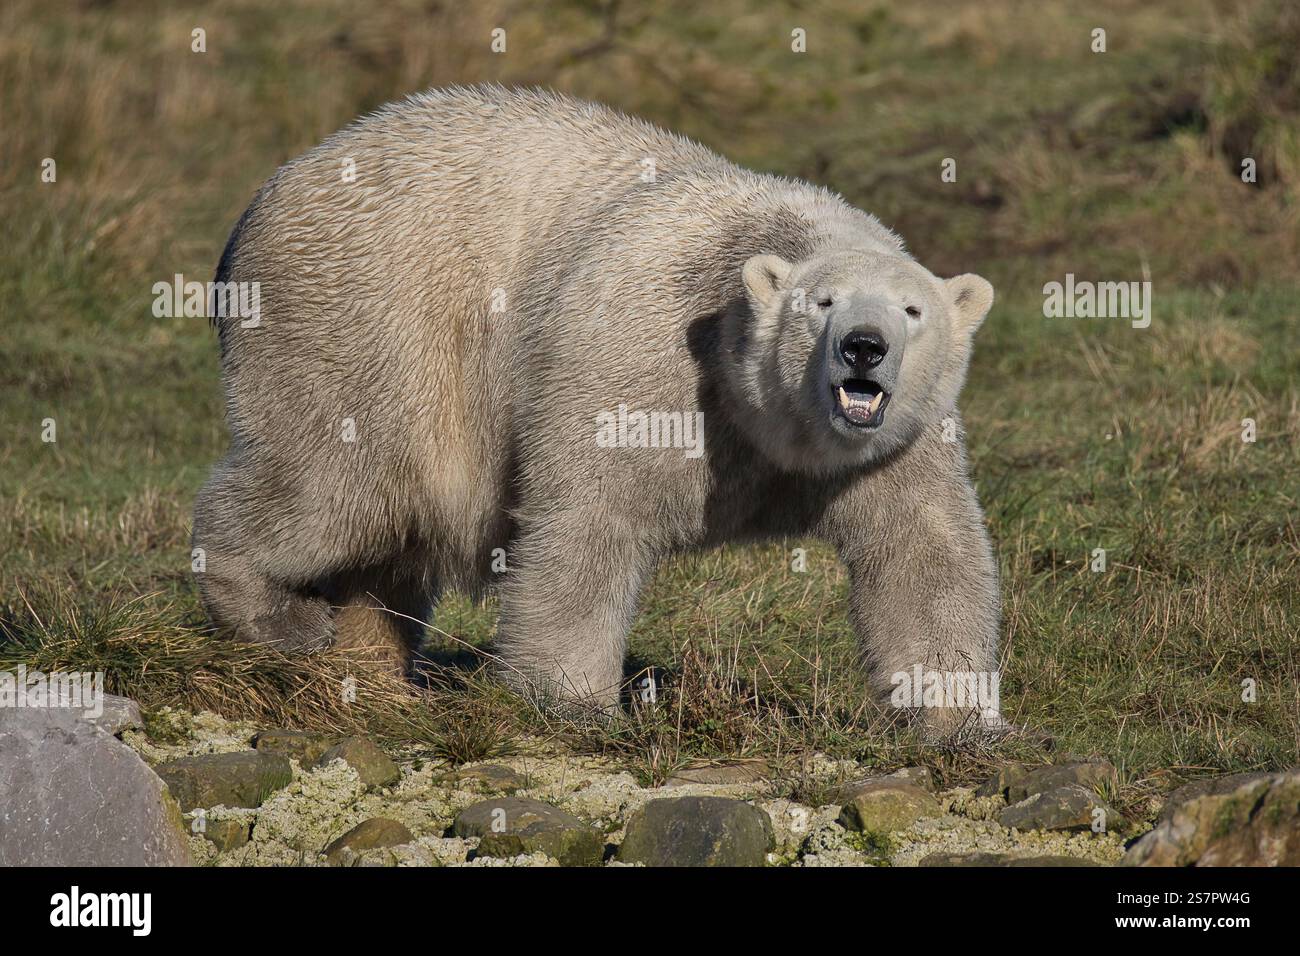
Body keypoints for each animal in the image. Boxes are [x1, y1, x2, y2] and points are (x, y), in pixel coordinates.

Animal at [192, 85, 1002, 735]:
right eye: (822, 303)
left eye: (912, 310)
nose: (864, 347)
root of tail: (267, 197)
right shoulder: (648, 361)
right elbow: (588, 523)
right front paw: (573, 701)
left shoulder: (899, 442)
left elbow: (923, 551)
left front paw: (959, 720)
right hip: (369, 319)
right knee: (339, 484)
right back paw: (281, 615)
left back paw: (375, 672)